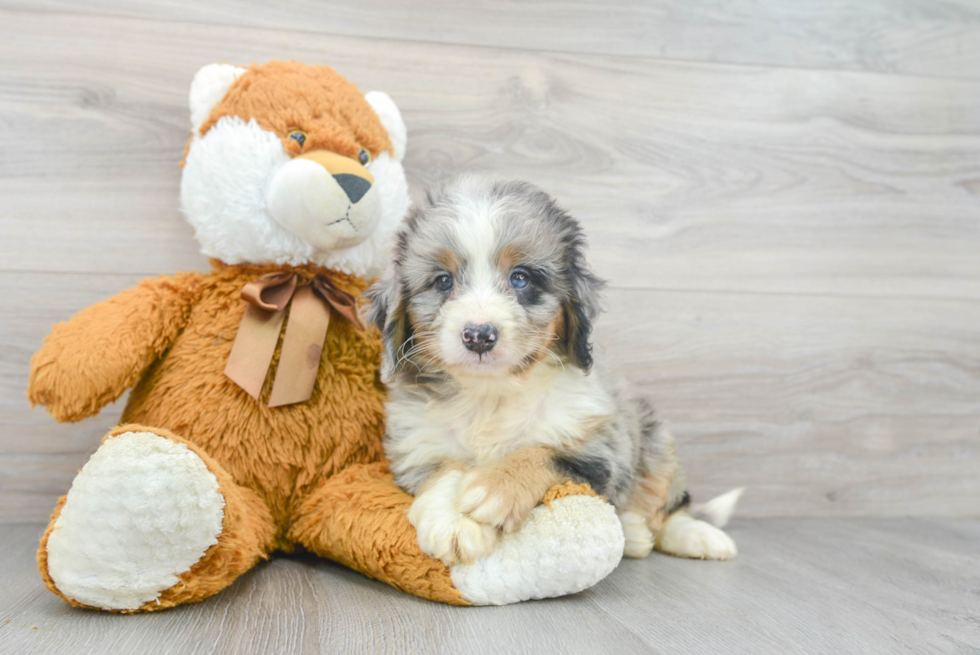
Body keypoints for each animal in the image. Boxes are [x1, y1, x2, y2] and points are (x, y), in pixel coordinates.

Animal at [364, 177, 740, 568]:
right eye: (442, 281)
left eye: (520, 278)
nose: (479, 335)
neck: (492, 393)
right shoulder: (419, 444)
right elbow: (442, 471)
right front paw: (454, 522)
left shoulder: (599, 447)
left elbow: (544, 452)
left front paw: (493, 486)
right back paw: (636, 534)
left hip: (655, 442)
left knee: (669, 506)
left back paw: (695, 536)